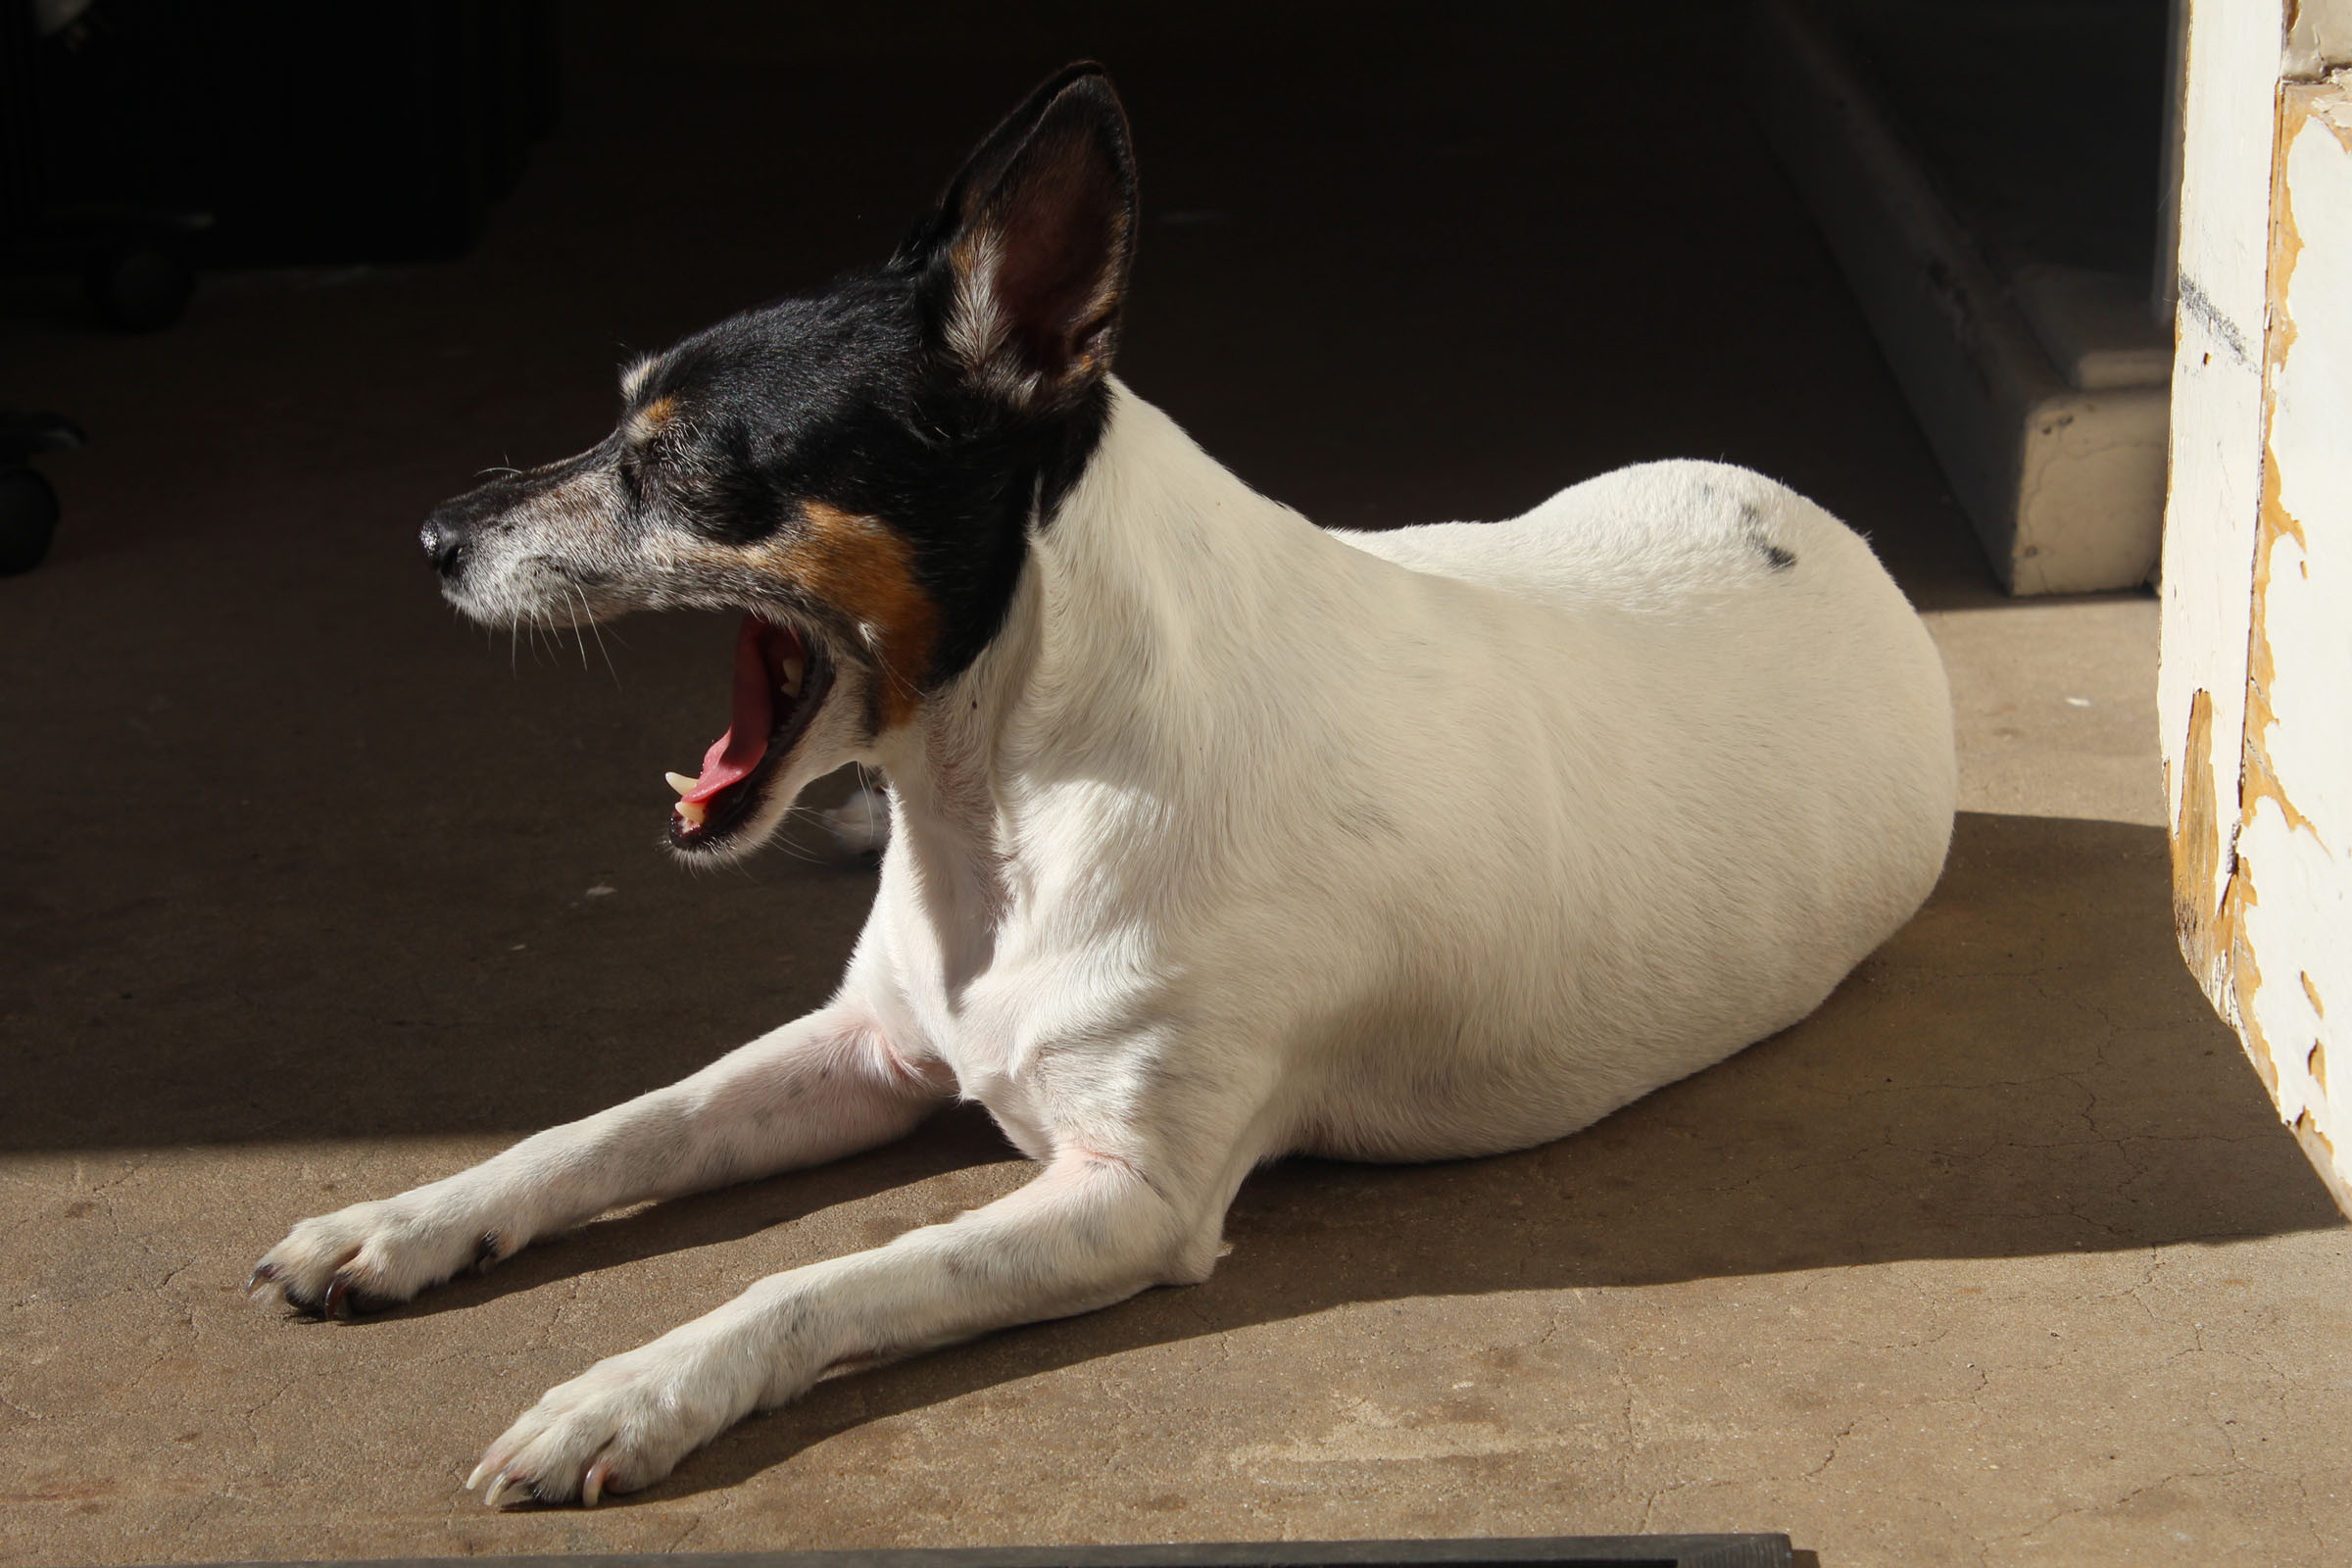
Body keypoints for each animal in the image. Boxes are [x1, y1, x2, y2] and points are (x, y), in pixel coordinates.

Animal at [248, 61, 1956, 1504]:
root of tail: (1812, 516)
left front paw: (627, 1392)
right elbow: (605, 1130)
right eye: (618, 418)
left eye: (683, 461)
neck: (1000, 809)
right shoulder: (863, 1050)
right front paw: (399, 1221)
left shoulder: (1128, 1197)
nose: (434, 540)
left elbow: (811, 1279)